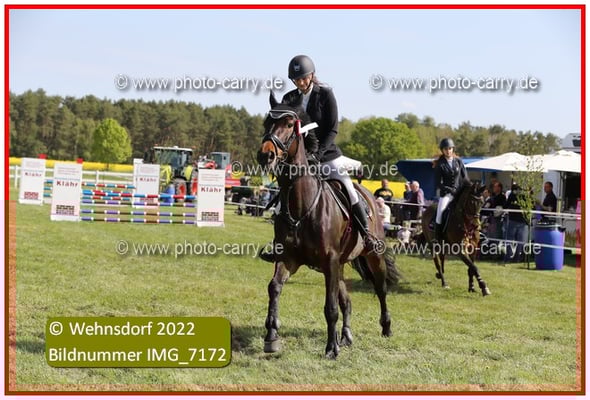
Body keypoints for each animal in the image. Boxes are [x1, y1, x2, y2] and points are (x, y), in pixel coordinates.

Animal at [256, 93, 401, 359]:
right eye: (266, 123)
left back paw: (385, 327)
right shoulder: (289, 258)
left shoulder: (329, 261)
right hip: (339, 265)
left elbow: (330, 306)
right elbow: (274, 287)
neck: (301, 206)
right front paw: (271, 335)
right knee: (347, 300)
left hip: (371, 256)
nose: (265, 156)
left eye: (289, 124)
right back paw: (346, 336)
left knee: (381, 289)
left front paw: (331, 348)